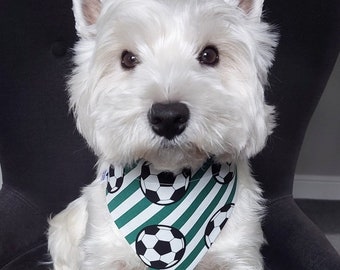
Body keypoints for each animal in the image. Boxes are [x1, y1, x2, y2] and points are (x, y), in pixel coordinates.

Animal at [48, 0, 276, 268]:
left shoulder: (238, 254)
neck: (170, 177)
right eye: (128, 58)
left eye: (210, 55)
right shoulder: (105, 254)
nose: (168, 118)